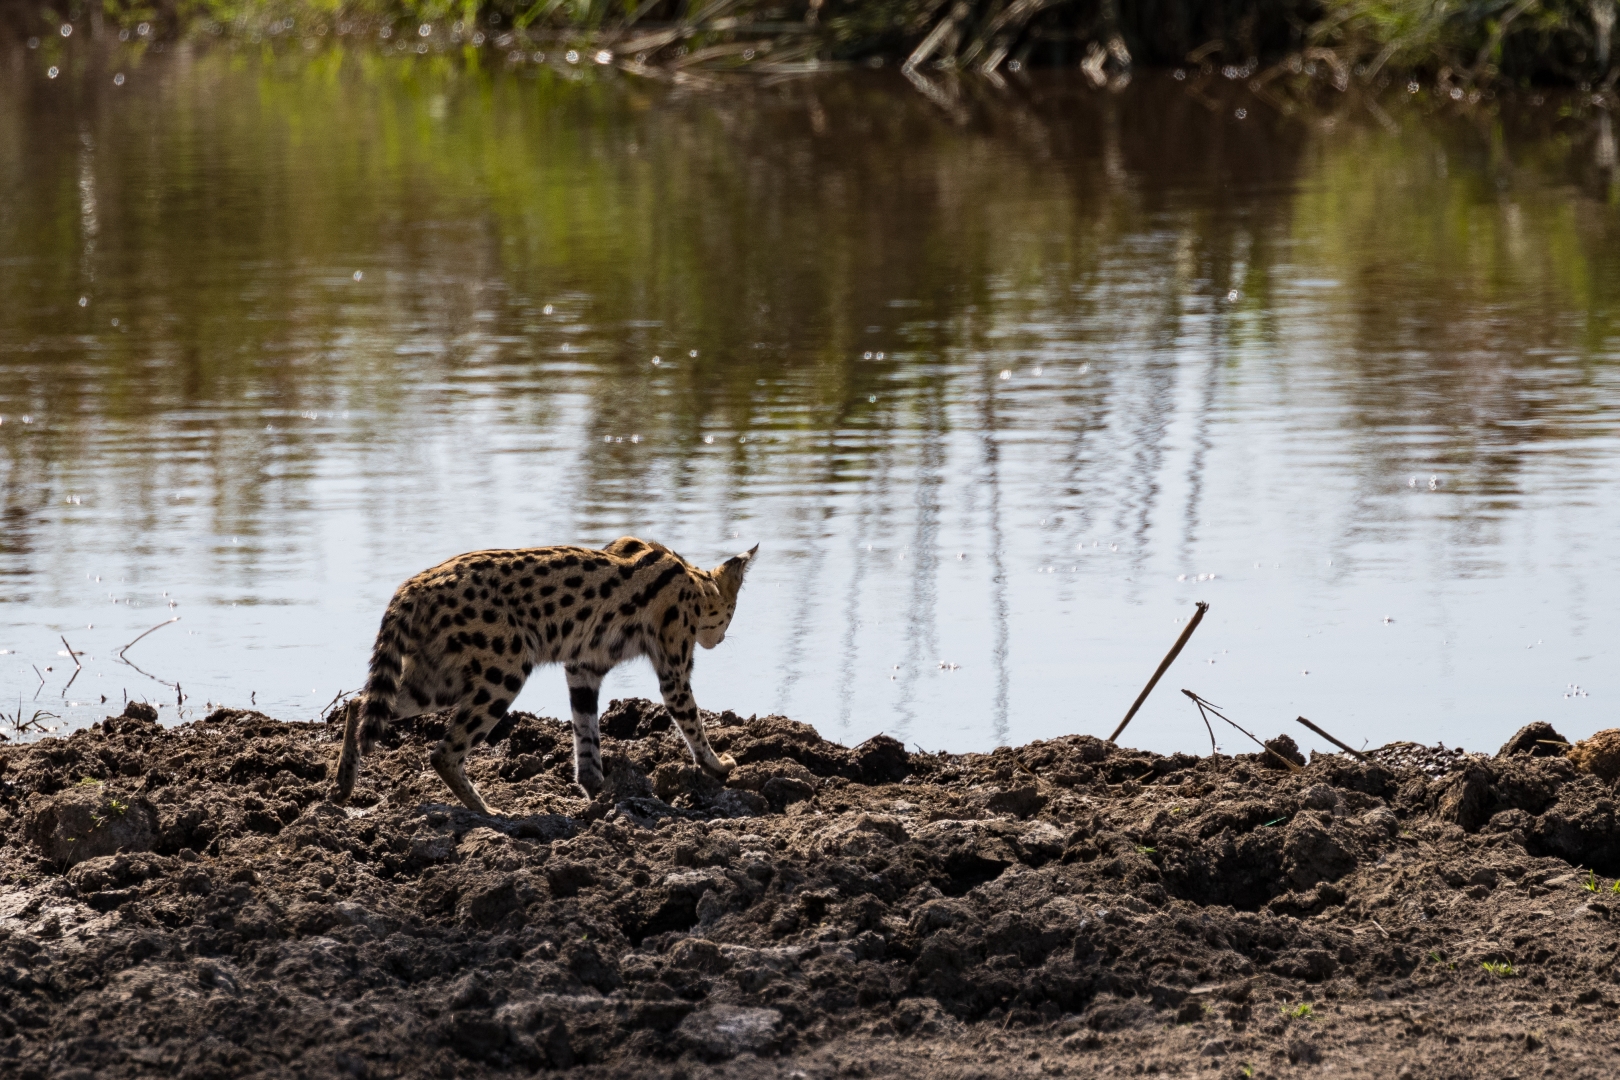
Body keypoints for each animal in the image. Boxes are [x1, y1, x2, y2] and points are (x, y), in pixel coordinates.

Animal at [333, 537, 758, 816]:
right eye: (733, 614)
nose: (721, 639)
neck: (695, 584)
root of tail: (412, 586)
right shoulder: (673, 669)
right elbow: (693, 723)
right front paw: (719, 766)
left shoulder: (583, 668)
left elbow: (586, 731)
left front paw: (598, 789)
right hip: (500, 673)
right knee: (442, 752)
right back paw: (487, 812)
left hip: (438, 680)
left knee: (359, 702)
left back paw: (343, 785)